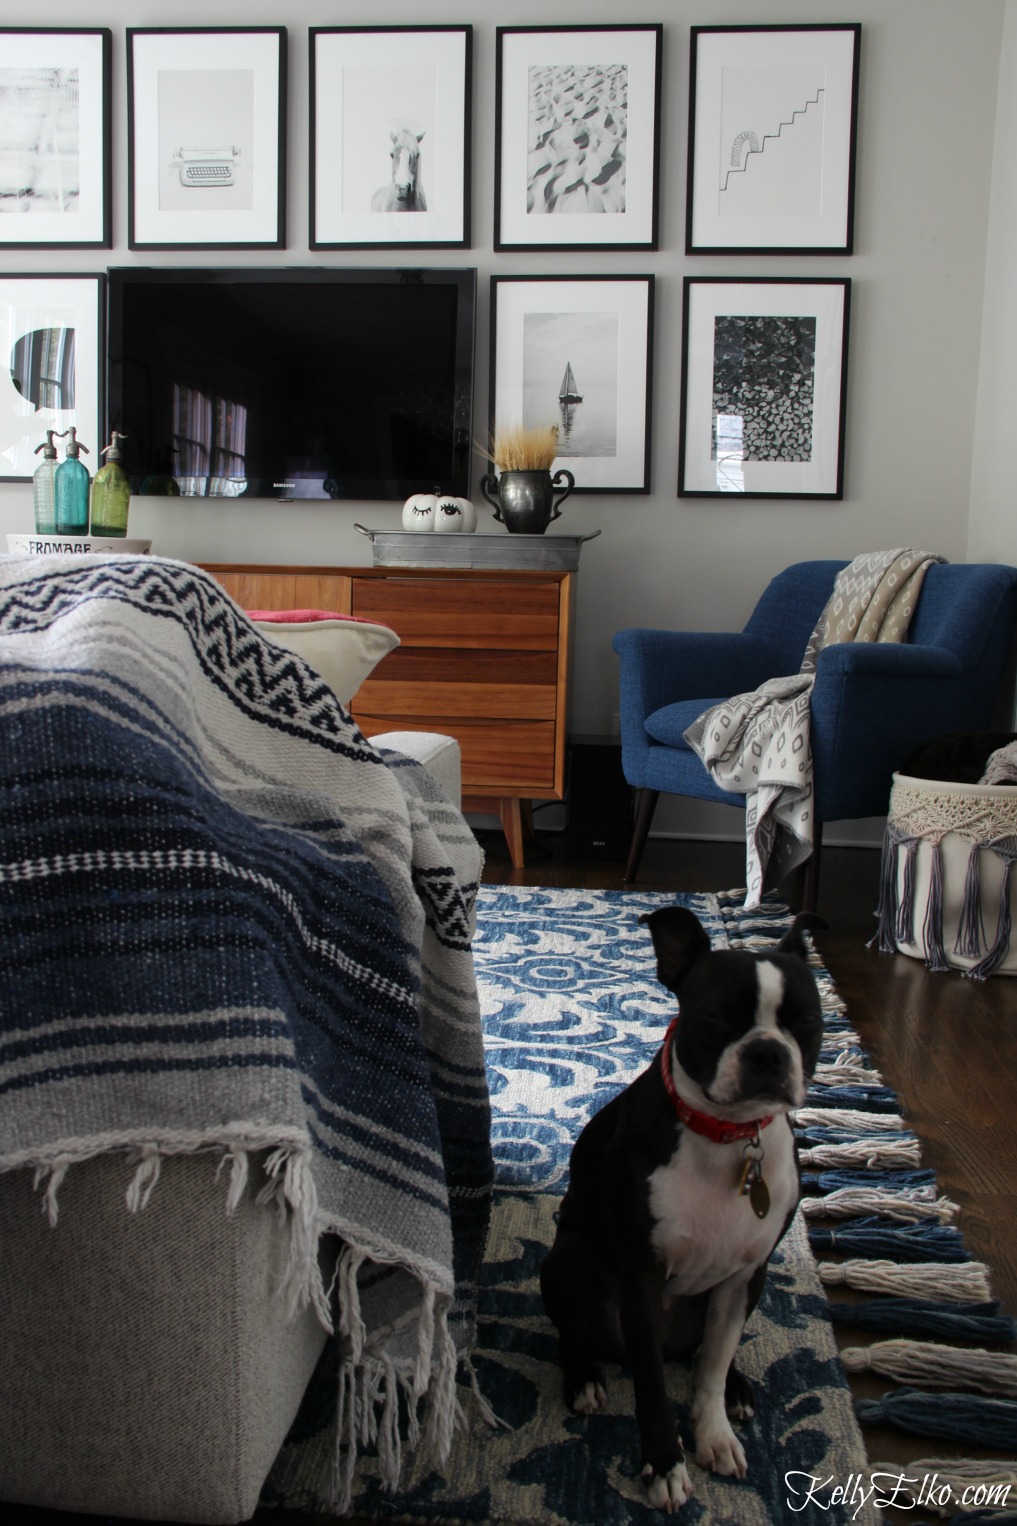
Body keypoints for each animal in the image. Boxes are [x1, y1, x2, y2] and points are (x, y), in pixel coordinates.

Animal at [537, 903, 824, 1513]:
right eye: (716, 1018)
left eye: (808, 1023)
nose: (768, 1051)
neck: (728, 1135)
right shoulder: (643, 1280)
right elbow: (651, 1386)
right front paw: (665, 1465)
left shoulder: (745, 1276)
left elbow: (712, 1365)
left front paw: (714, 1434)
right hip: (569, 1260)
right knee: (575, 1334)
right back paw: (584, 1379)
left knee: (707, 1353)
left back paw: (738, 1390)